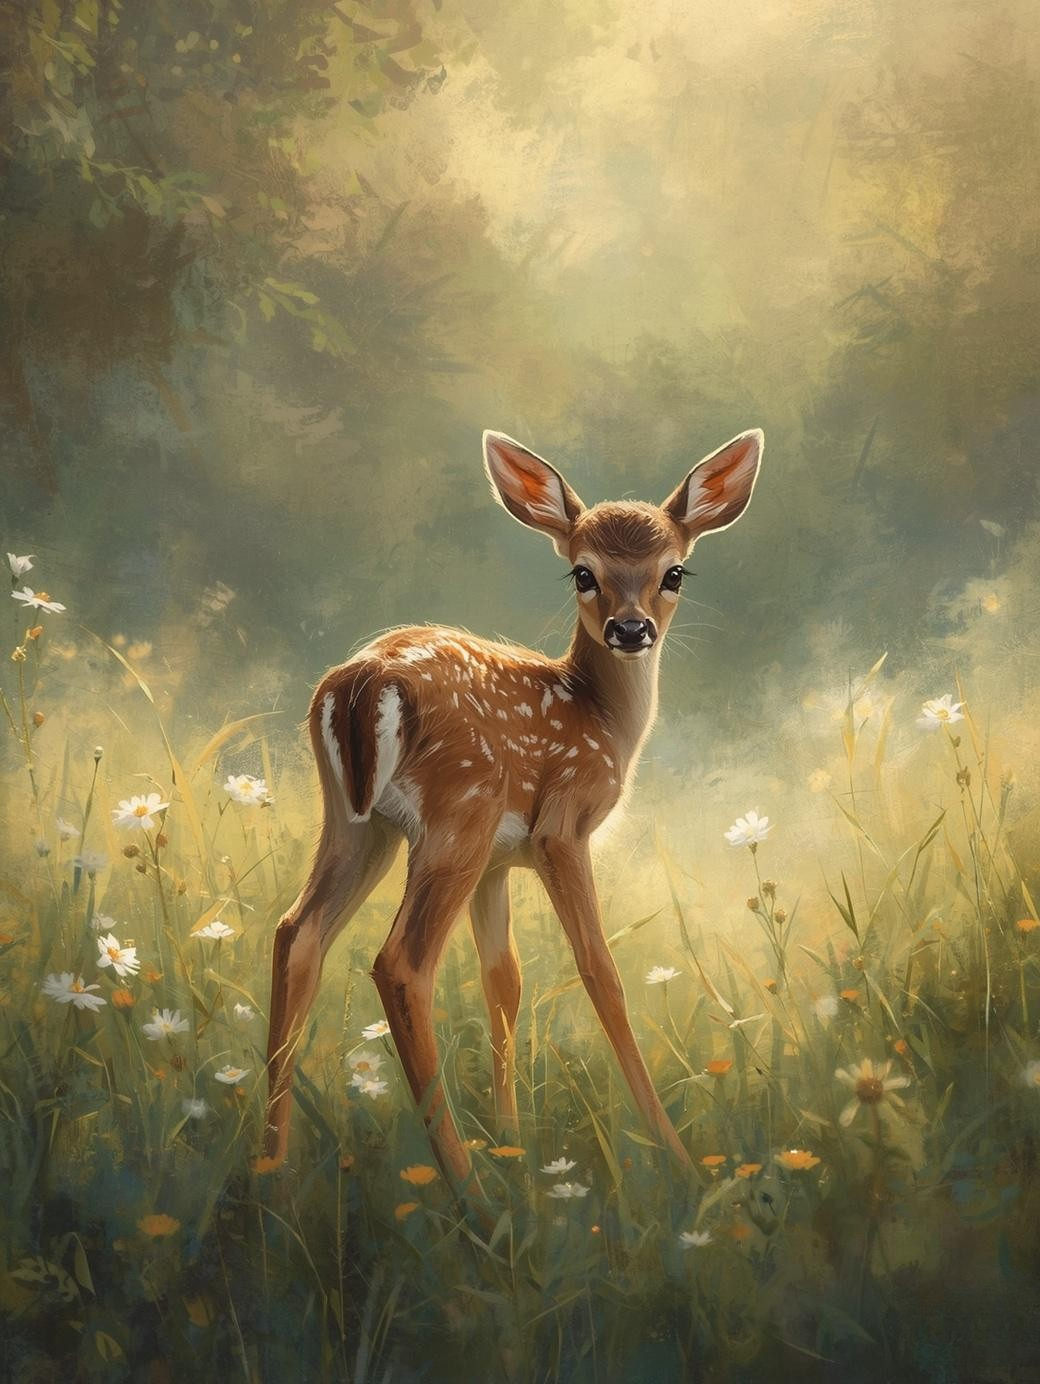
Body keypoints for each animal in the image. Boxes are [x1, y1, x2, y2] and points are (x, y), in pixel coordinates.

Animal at [263, 427, 764, 1189]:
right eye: (583, 572)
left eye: (674, 572)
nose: (630, 629)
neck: (601, 718)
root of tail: (363, 680)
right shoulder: (561, 827)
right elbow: (600, 972)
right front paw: (677, 1160)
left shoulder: (501, 863)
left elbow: (504, 982)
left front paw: (512, 1142)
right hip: (455, 817)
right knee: (400, 963)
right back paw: (464, 1187)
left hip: (357, 822)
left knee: (297, 933)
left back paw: (268, 1169)